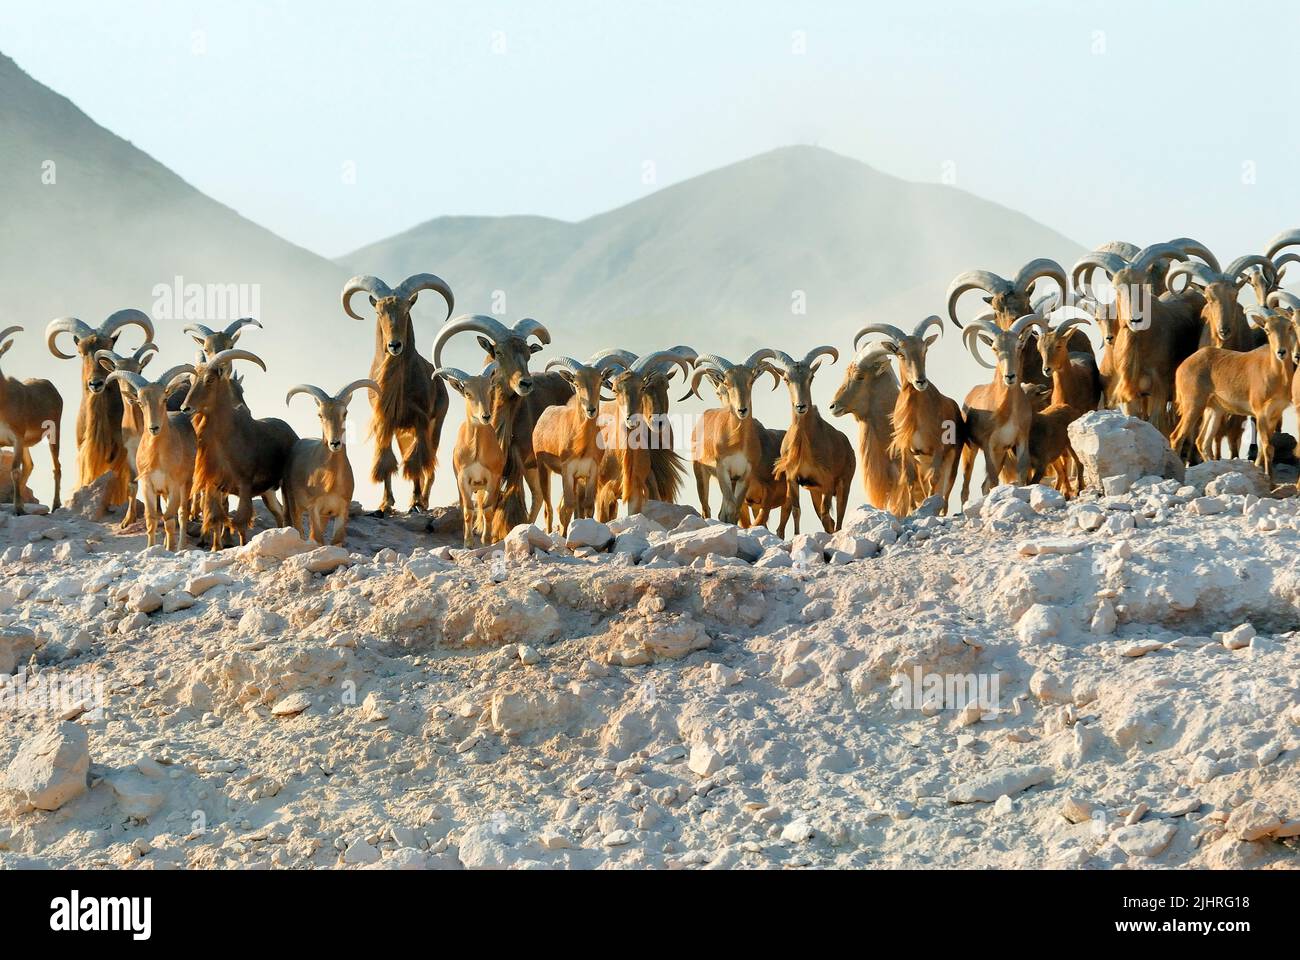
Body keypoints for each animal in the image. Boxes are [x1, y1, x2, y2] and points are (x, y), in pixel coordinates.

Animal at [286, 382, 379, 546]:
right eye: (320, 415)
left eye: (345, 413)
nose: (335, 443)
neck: (331, 480)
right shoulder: (313, 507)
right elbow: (317, 538)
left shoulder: (342, 508)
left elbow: (336, 540)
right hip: (293, 502)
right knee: (299, 530)